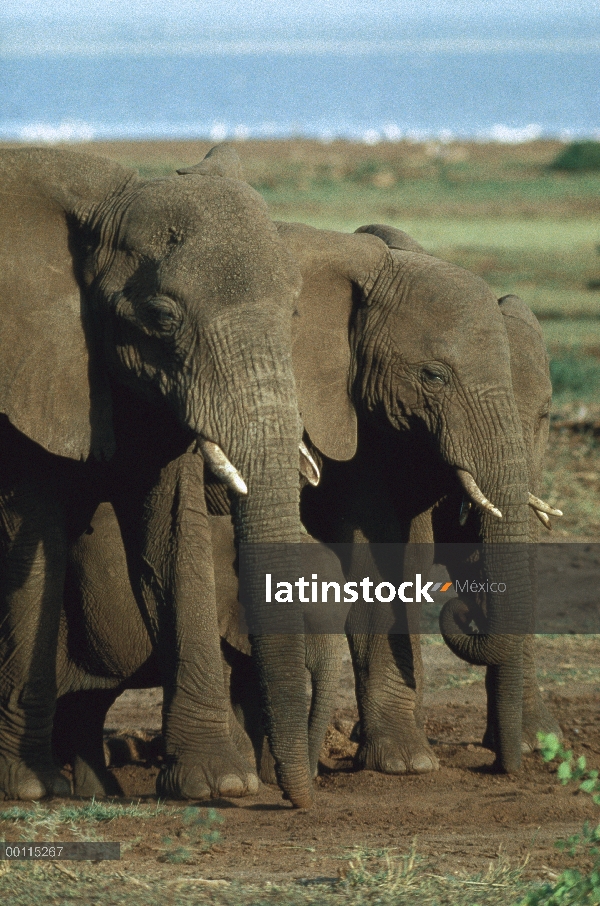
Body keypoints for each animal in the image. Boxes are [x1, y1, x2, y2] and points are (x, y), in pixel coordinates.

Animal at [0, 147, 324, 804]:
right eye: (160, 316)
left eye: (295, 310)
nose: (300, 801)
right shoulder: (27, 367)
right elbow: (33, 534)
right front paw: (29, 790)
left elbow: (174, 533)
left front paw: (219, 783)